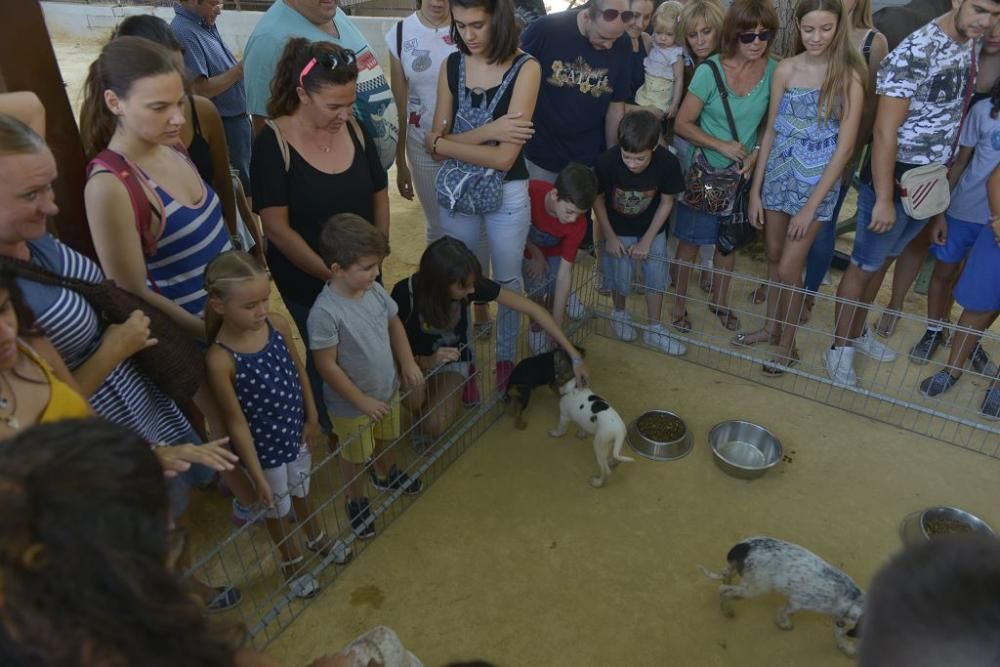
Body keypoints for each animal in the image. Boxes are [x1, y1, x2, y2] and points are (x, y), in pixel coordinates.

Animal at [700, 536, 864, 656]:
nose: (842, 624)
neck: (851, 598)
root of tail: (741, 547)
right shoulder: (797, 603)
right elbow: (783, 612)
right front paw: (784, 624)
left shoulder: (840, 619)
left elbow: (840, 636)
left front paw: (848, 649)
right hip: (754, 588)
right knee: (723, 589)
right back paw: (726, 610)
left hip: (739, 576)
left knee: (725, 579)